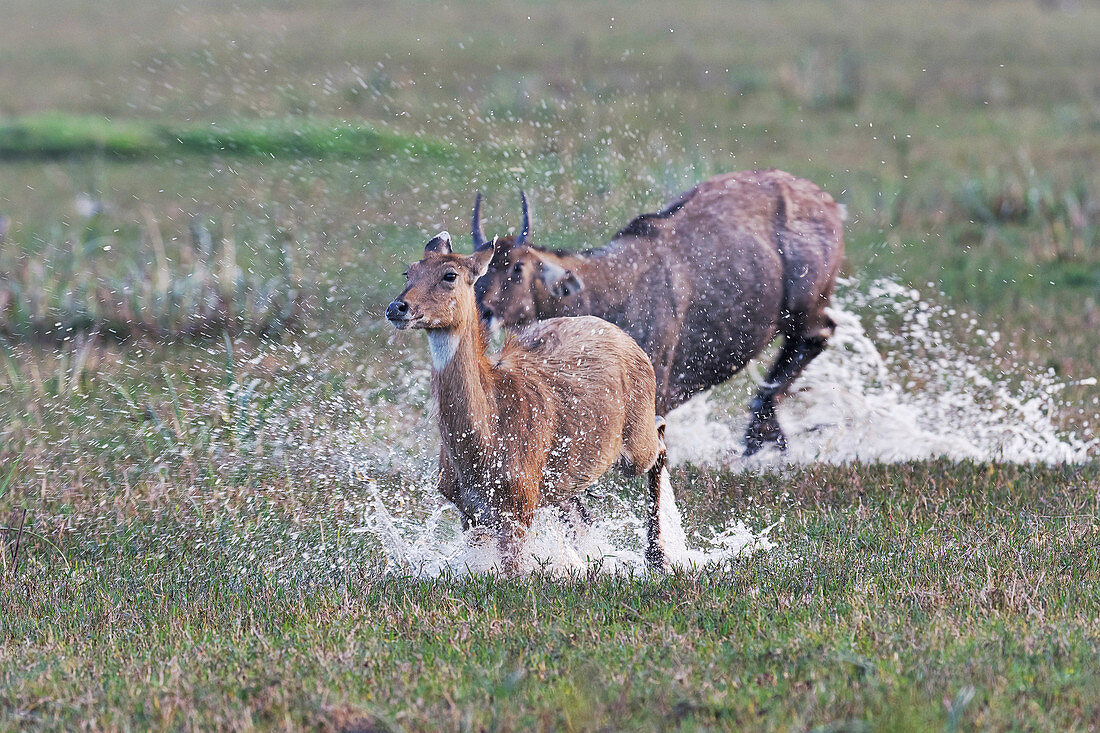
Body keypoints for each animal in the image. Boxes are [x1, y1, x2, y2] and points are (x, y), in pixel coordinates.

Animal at [387, 231, 668, 567]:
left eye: (450, 275)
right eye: (409, 272)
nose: (397, 307)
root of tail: (626, 338)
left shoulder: (519, 504)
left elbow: (514, 571)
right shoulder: (469, 510)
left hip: (634, 439)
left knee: (659, 438)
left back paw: (658, 556)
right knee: (581, 514)